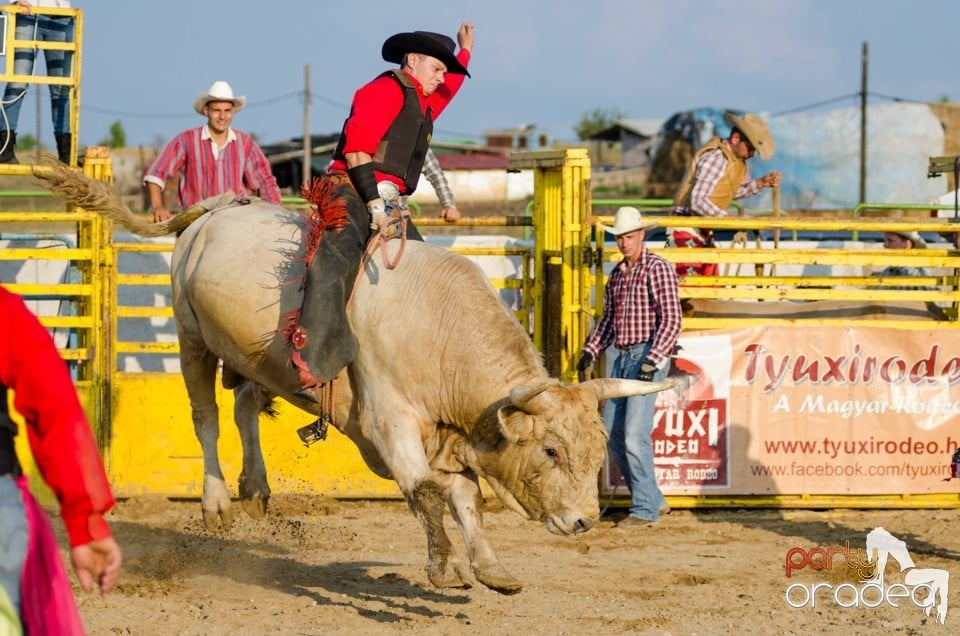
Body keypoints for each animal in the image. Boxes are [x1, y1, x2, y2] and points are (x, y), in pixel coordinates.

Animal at [33, 163, 672, 592]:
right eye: (550, 450)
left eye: (597, 449)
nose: (585, 520)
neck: (437, 325)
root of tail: (217, 208)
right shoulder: (390, 424)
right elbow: (428, 493)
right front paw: (444, 566)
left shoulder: (447, 436)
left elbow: (465, 496)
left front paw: (489, 566)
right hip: (191, 336)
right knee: (207, 415)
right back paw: (216, 502)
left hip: (252, 356)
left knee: (242, 408)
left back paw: (257, 487)